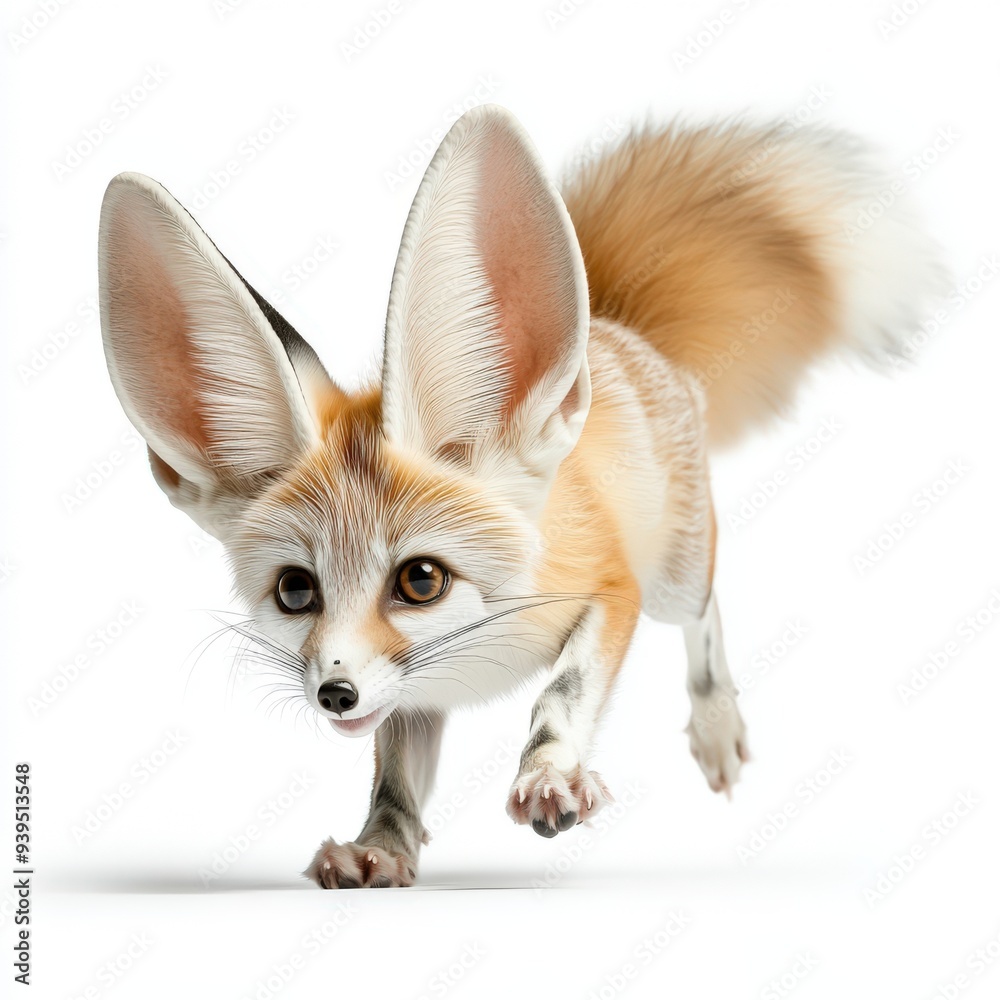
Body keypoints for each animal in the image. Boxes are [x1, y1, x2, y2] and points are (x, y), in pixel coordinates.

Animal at [98, 105, 942, 888]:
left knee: (704, 614)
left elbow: (561, 694)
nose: (336, 693)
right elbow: (394, 784)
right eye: (295, 591)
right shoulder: (409, 697)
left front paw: (549, 775)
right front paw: (381, 848)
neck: (480, 662)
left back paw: (714, 721)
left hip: (673, 573)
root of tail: (614, 330)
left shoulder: (611, 590)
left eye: (421, 580)